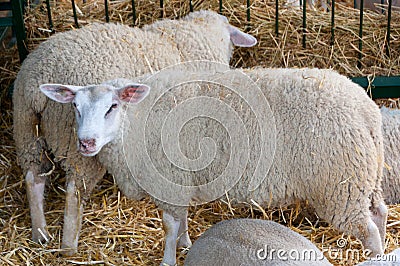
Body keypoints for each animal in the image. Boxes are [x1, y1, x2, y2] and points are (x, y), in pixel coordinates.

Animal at [14, 10, 256, 256]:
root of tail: (36, 83)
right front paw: (185, 241)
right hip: (77, 145)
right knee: (75, 192)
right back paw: (69, 248)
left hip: (26, 131)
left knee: (34, 177)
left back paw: (40, 234)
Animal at [39, 65, 388, 266]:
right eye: (75, 107)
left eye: (112, 106)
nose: (85, 143)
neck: (134, 122)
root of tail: (364, 108)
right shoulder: (180, 181)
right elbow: (180, 221)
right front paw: (186, 243)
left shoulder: (168, 181)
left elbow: (168, 227)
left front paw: (168, 259)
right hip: (365, 176)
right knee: (380, 213)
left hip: (339, 185)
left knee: (367, 230)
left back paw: (374, 256)